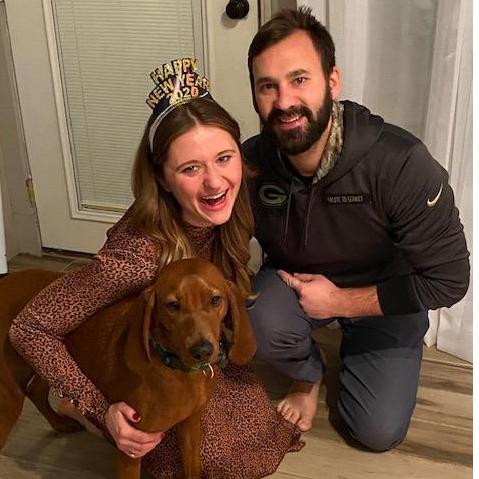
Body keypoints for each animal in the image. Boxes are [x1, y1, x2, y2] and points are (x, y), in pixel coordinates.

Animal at [0, 258, 257, 479]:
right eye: (173, 305)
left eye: (215, 300)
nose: (202, 350)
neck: (177, 369)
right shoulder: (132, 447)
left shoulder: (190, 426)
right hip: (10, 397)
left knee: (36, 390)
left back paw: (60, 423)